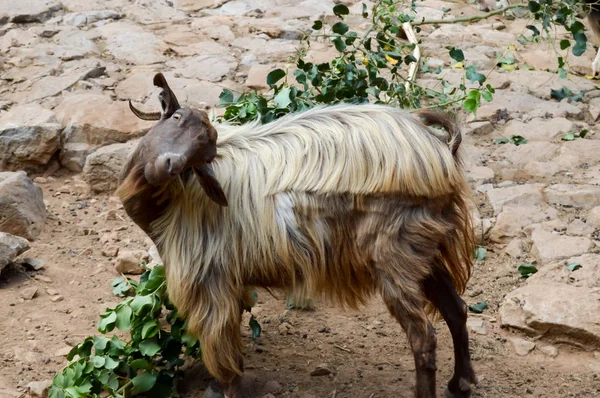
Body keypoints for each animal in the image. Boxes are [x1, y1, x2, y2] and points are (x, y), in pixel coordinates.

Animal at [116, 72, 474, 398]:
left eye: (201, 156)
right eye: (176, 118)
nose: (170, 165)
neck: (177, 198)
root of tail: (440, 151)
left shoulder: (210, 280)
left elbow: (223, 356)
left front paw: (221, 389)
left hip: (395, 255)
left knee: (423, 337)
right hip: (426, 249)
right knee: (456, 309)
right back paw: (461, 384)